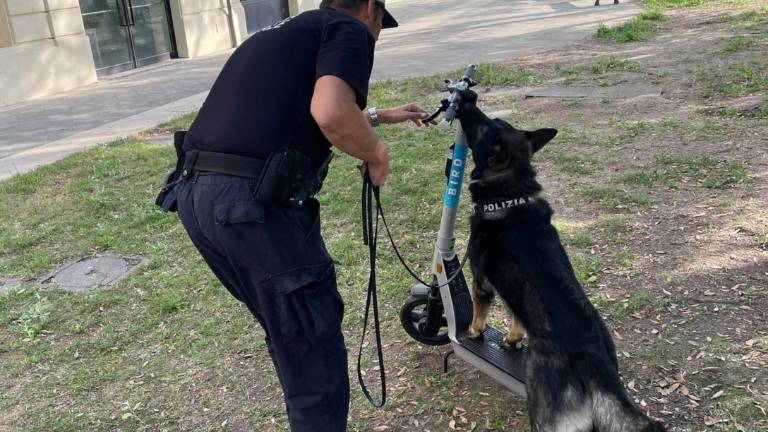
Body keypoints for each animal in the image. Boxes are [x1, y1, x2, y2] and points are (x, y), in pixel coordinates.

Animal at [460, 98, 664, 432]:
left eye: (482, 126)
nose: (468, 100)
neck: (510, 195)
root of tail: (592, 360)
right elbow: (516, 318)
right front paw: (512, 339)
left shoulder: (481, 281)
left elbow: (479, 314)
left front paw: (474, 332)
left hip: (546, 420)